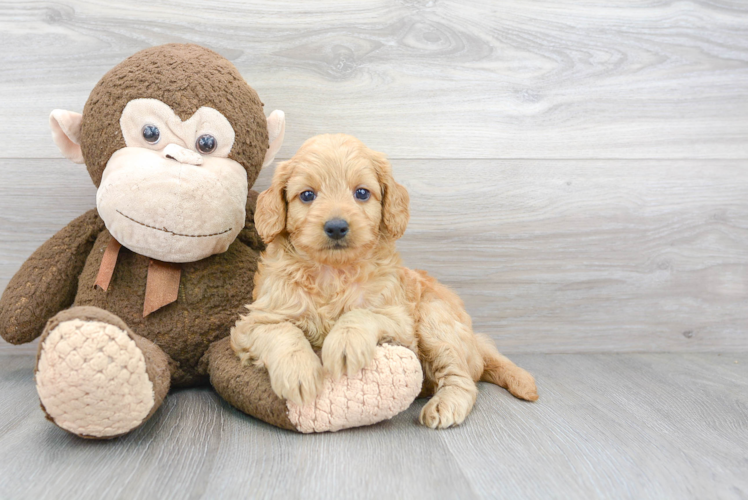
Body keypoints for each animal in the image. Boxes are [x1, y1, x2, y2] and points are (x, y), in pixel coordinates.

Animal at [232, 134, 536, 430]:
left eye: (362, 193)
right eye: (307, 195)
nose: (336, 227)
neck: (333, 273)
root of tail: (474, 339)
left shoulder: (399, 319)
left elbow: (360, 314)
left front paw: (344, 344)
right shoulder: (255, 321)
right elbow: (283, 332)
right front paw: (299, 372)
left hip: (434, 320)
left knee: (463, 379)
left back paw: (445, 404)